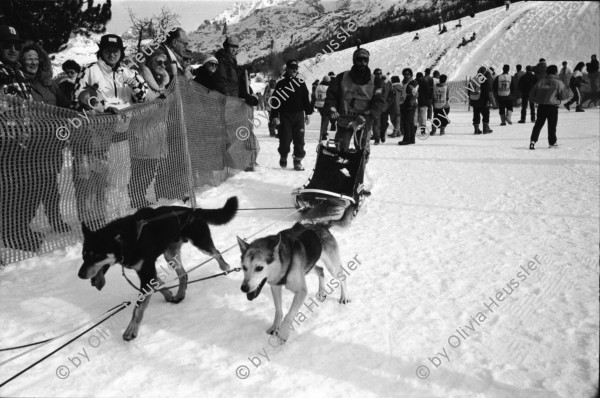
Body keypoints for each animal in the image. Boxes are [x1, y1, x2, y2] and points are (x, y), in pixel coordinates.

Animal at [78, 197, 239, 340]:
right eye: (84, 255)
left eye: (97, 256)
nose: (80, 275)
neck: (129, 240)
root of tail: (192, 210)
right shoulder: (147, 272)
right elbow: (157, 284)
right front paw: (168, 294)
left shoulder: (147, 271)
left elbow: (138, 307)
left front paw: (131, 330)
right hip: (170, 256)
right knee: (183, 274)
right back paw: (180, 294)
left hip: (201, 243)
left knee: (216, 253)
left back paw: (225, 266)